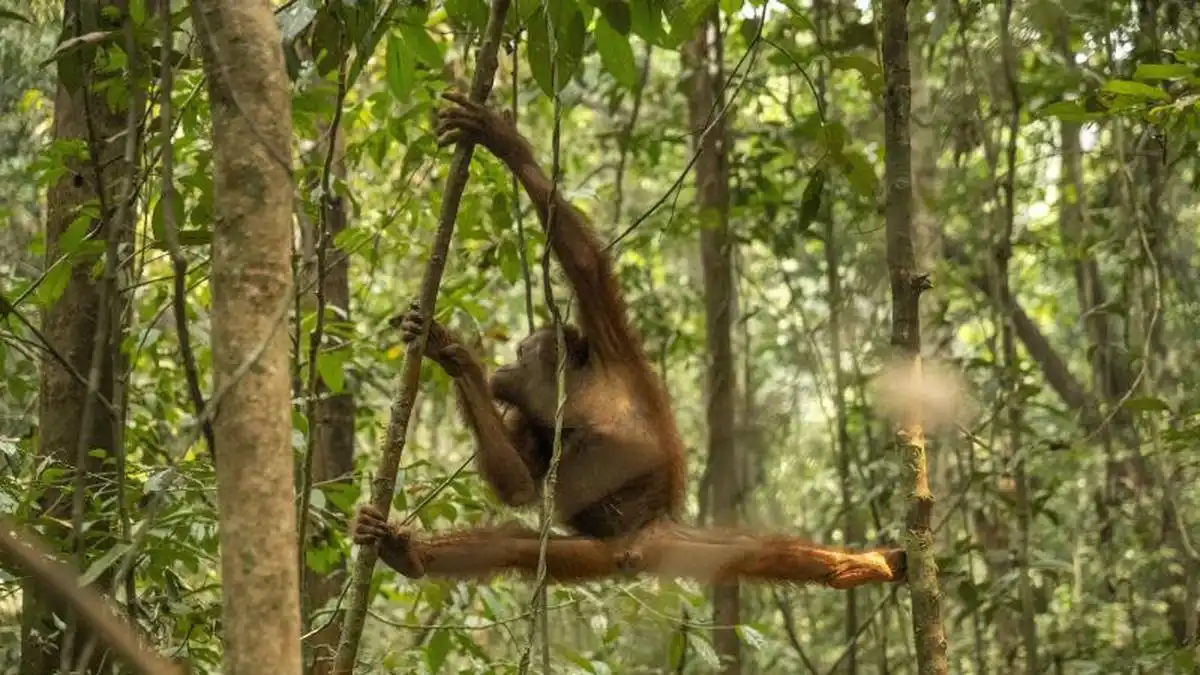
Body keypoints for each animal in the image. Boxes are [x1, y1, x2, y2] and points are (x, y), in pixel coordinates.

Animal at [352, 91, 907, 590]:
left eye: (521, 352)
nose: (504, 366)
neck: (575, 391)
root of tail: (640, 549)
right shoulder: (533, 423)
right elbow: (518, 484)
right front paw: (451, 353)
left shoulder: (612, 343)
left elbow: (584, 263)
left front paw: (504, 142)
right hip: (592, 554)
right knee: (513, 545)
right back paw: (407, 553)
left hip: (677, 544)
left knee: (762, 550)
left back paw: (859, 566)